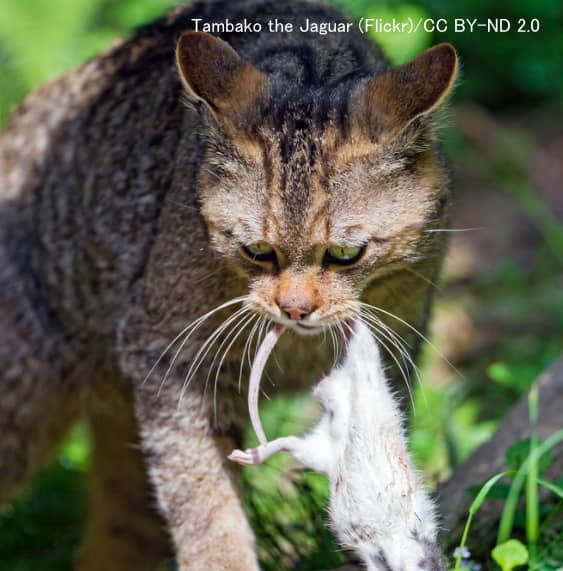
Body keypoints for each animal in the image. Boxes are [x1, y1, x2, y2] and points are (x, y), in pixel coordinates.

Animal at [0, 1, 458, 571]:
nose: (295, 308)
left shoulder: (400, 346)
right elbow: (207, 506)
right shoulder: (168, 366)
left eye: (345, 254)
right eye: (257, 250)